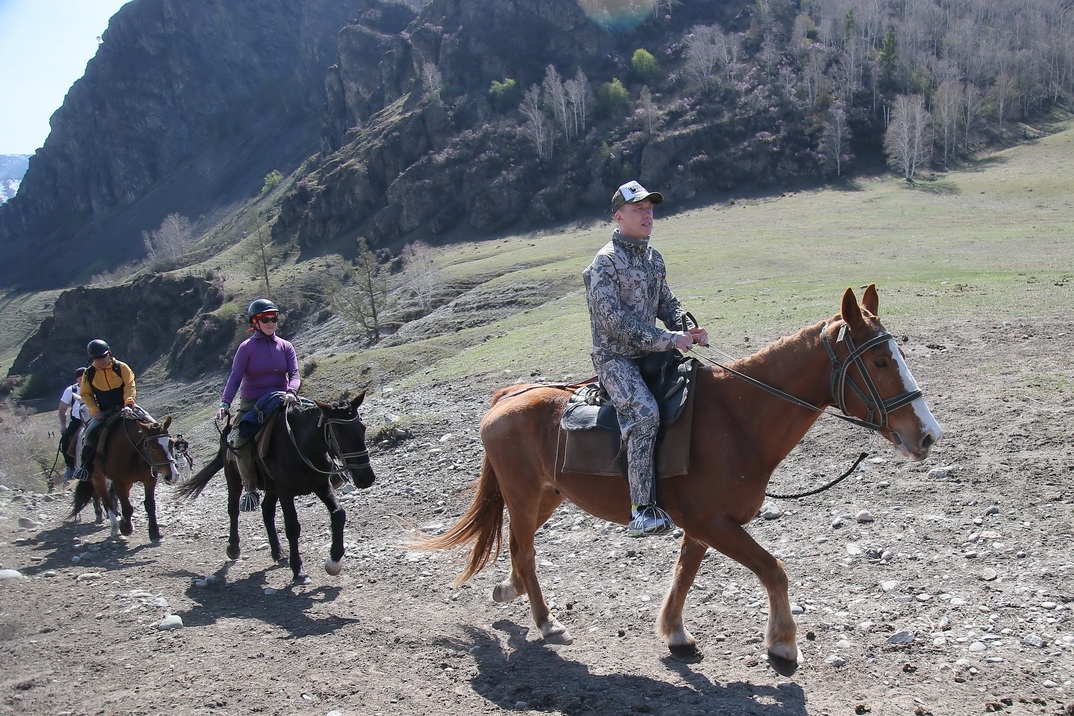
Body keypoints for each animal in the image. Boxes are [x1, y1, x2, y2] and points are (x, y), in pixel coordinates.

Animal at [69, 412, 176, 541]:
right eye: (154, 446)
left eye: (172, 443)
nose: (172, 476)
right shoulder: (118, 482)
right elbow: (127, 507)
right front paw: (125, 528)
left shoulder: (149, 480)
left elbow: (150, 504)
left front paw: (154, 532)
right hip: (97, 478)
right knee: (107, 501)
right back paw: (115, 527)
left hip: (127, 482)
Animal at [418, 283, 940, 665]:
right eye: (879, 361)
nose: (927, 435)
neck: (735, 419)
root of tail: (506, 397)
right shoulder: (713, 523)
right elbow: (773, 569)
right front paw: (783, 644)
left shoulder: (704, 526)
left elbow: (685, 574)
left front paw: (675, 633)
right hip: (525, 495)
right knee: (525, 552)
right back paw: (546, 621)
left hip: (548, 495)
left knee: (515, 546)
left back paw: (509, 590)